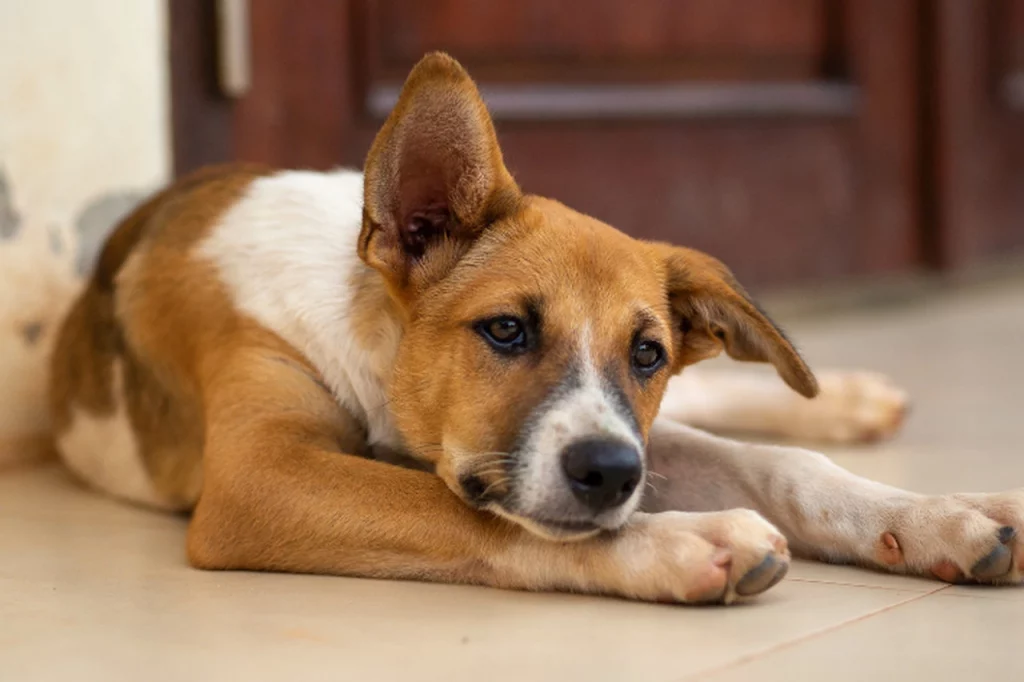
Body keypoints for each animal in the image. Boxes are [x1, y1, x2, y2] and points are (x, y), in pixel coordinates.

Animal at [49, 51, 1024, 602]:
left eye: (647, 353)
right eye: (507, 331)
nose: (613, 475)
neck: (375, 346)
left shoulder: (635, 427)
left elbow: (779, 467)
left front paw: (939, 517)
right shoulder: (260, 477)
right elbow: (469, 515)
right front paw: (685, 540)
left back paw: (856, 402)